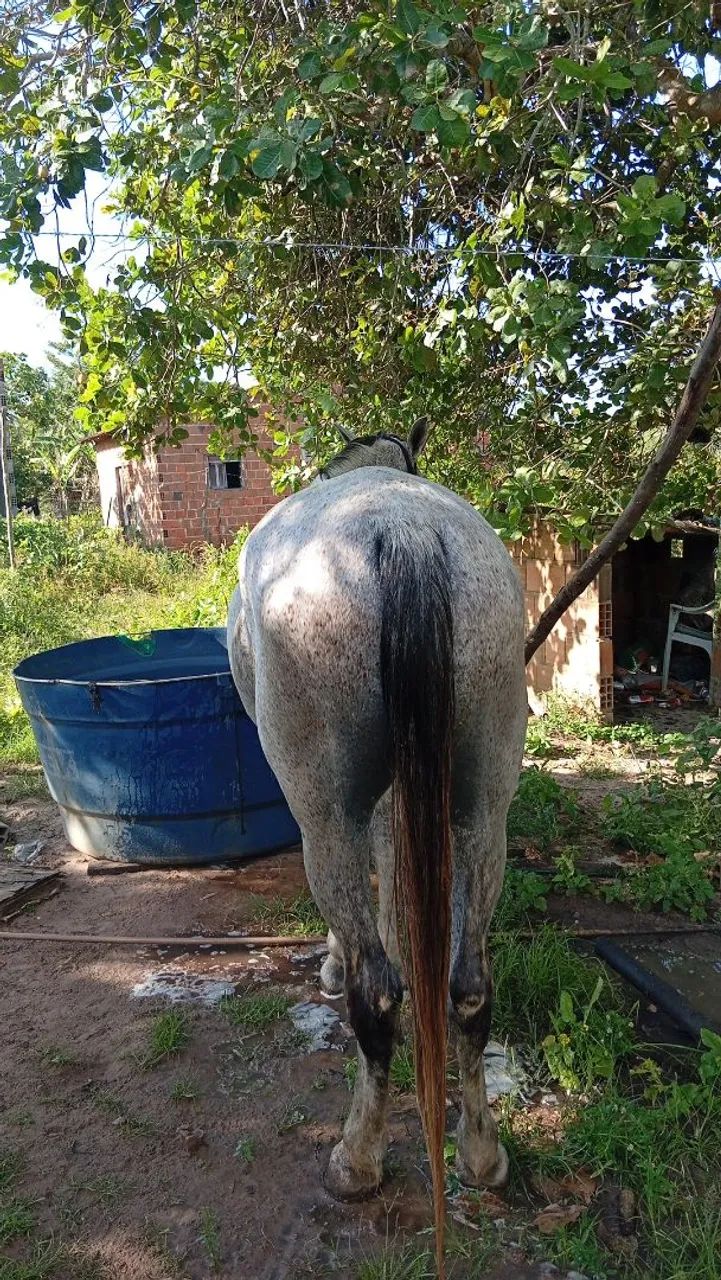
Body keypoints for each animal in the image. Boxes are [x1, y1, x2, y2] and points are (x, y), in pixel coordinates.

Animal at [227, 420, 527, 1275]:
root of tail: (405, 529)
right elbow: (399, 893)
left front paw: (331, 963)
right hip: (482, 808)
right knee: (468, 986)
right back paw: (481, 1156)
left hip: (325, 809)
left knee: (375, 996)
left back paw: (356, 1160)